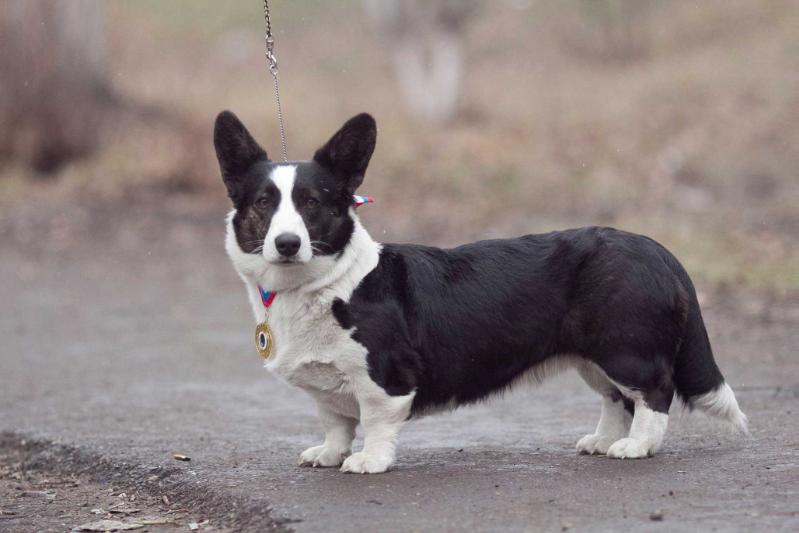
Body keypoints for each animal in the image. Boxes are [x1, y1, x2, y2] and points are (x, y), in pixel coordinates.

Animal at [214, 110, 752, 472]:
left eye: (312, 203)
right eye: (263, 203)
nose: (287, 244)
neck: (325, 285)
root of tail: (658, 251)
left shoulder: (386, 378)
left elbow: (375, 421)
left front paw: (369, 460)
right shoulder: (328, 389)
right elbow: (335, 420)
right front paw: (328, 454)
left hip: (626, 350)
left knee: (655, 393)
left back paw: (637, 447)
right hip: (593, 358)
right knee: (617, 399)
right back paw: (602, 441)